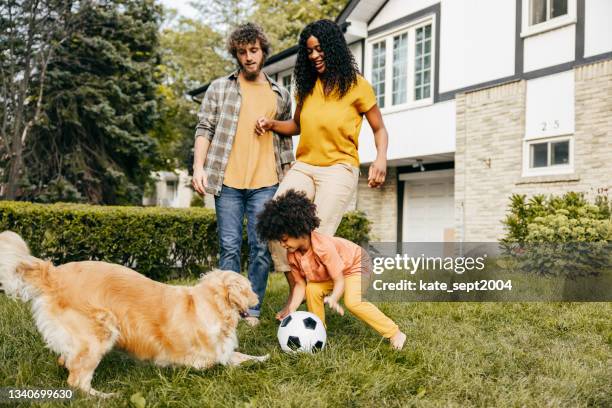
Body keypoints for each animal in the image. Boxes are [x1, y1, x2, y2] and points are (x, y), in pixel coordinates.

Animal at [0, 231, 268, 396]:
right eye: (249, 288)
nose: (257, 299)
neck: (211, 304)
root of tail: (54, 273)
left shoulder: (222, 352)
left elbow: (243, 356)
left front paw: (264, 357)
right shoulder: (202, 362)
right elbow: (225, 362)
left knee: (68, 364)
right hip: (101, 331)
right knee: (77, 381)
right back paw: (105, 396)